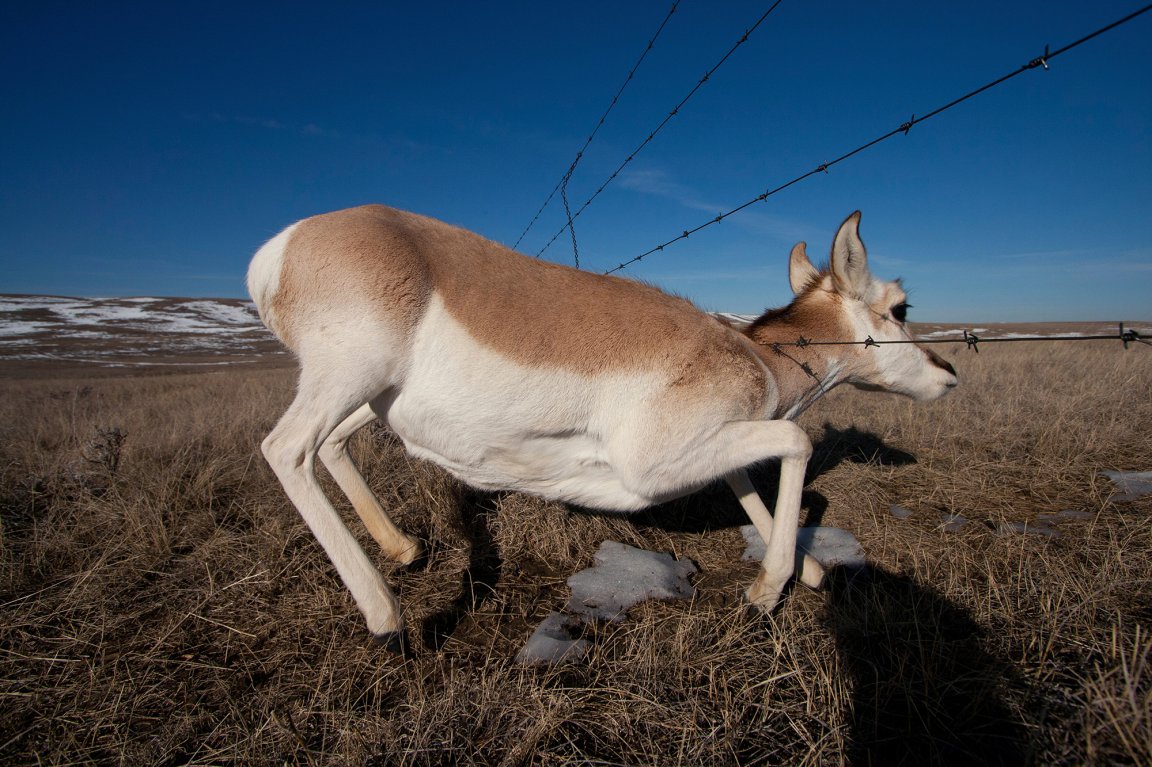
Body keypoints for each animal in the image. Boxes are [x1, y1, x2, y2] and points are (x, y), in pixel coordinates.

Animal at [248, 205, 957, 642]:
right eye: (901, 306)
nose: (949, 369)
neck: (754, 355)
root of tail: (282, 246)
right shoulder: (654, 465)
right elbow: (796, 440)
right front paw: (767, 589)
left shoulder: (712, 446)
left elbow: (748, 481)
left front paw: (807, 573)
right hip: (349, 379)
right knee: (287, 449)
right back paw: (387, 619)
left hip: (369, 397)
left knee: (330, 448)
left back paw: (404, 549)